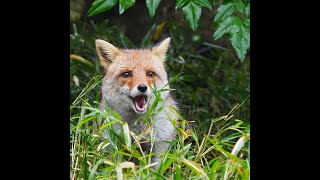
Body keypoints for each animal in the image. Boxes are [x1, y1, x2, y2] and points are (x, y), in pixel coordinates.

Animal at [95, 37, 180, 169]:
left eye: (150, 73)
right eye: (126, 74)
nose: (142, 87)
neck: (137, 129)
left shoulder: (160, 146)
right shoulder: (110, 143)